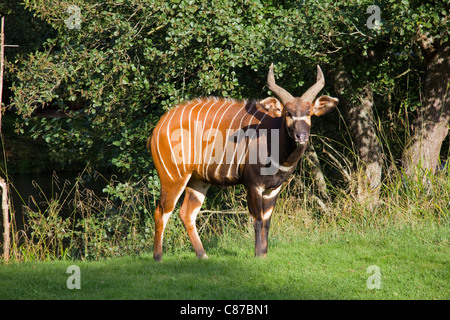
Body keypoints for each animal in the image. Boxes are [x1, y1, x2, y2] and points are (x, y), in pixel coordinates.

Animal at [148, 63, 338, 262]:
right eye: (288, 113)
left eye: (309, 113)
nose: (301, 136)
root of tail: (157, 128)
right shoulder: (253, 184)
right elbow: (257, 219)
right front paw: (258, 255)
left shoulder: (273, 188)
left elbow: (267, 221)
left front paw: (264, 254)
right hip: (173, 177)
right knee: (161, 212)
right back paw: (158, 257)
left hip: (198, 180)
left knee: (186, 214)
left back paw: (203, 255)